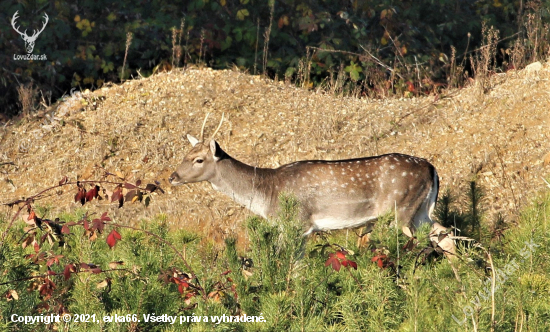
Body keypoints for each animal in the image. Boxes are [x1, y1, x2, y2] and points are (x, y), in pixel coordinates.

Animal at [169, 114, 458, 256]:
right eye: (184, 154)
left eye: (198, 159)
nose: (172, 176)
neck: (267, 195)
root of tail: (432, 169)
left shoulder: (298, 223)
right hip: (420, 210)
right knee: (444, 233)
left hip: (401, 207)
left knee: (419, 242)